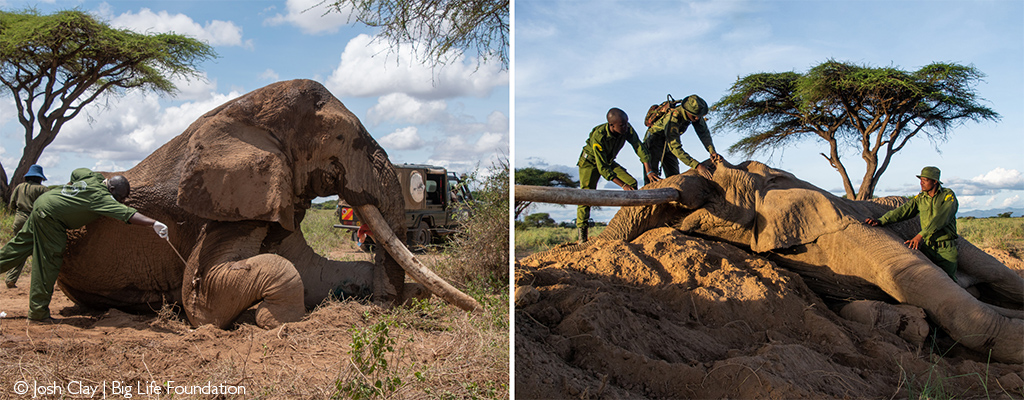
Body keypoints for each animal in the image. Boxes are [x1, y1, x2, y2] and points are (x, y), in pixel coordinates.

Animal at [48, 79, 479, 331]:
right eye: (343, 139)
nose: (379, 310)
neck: (246, 110)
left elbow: (311, 271)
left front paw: (407, 294)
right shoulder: (225, 200)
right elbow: (202, 300)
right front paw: (271, 320)